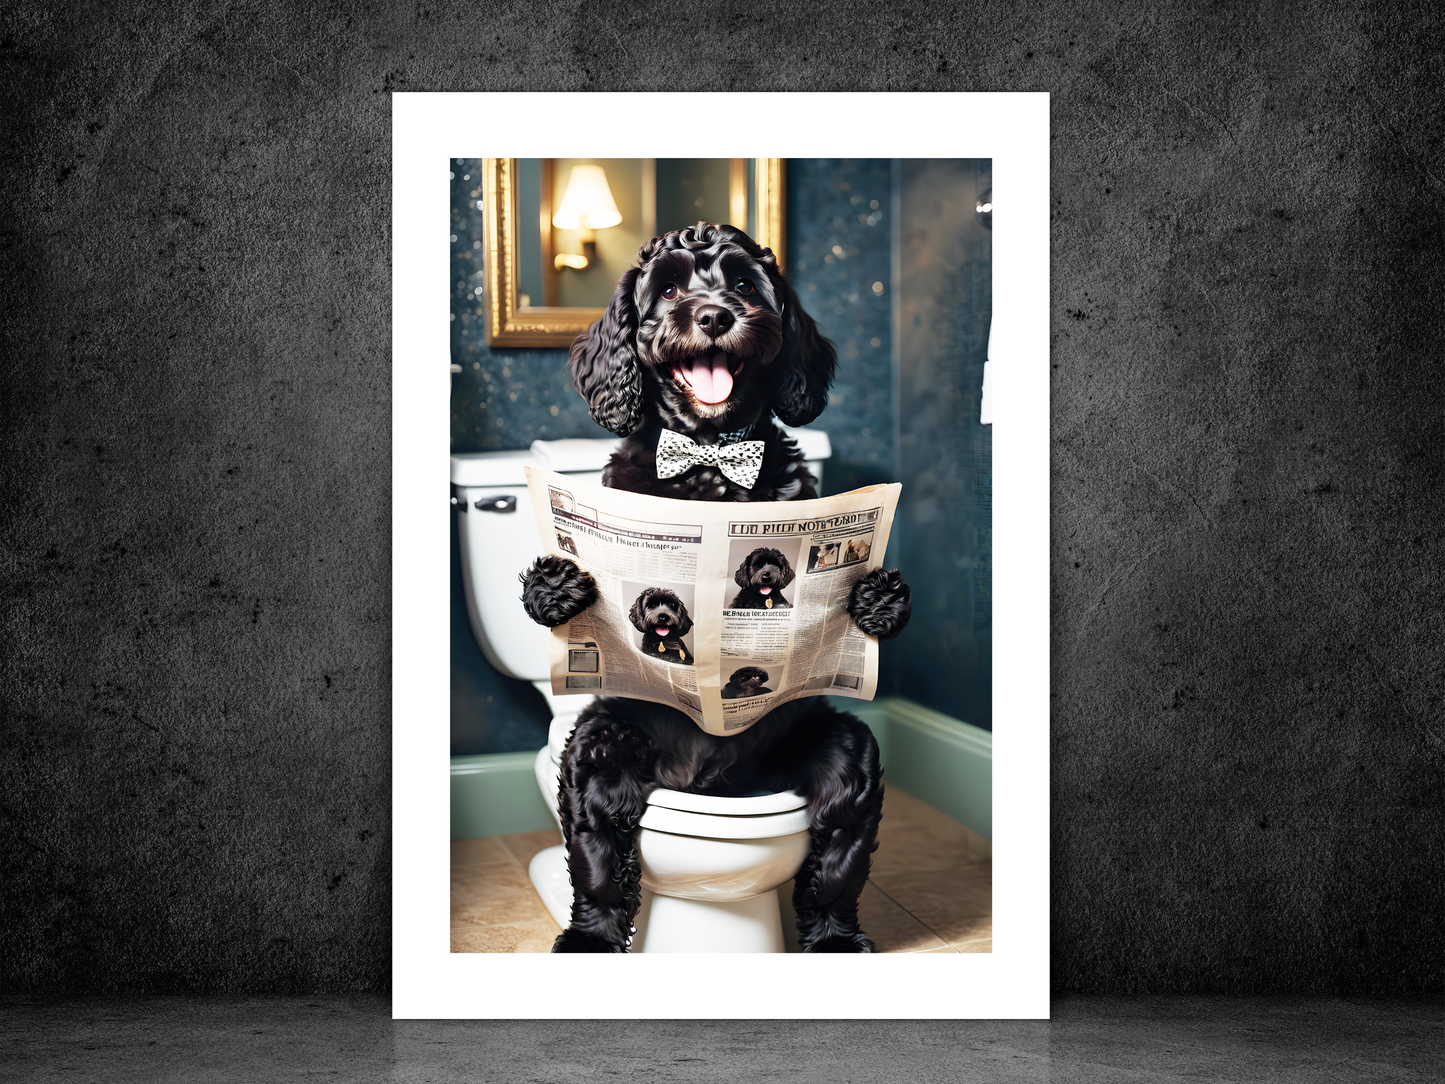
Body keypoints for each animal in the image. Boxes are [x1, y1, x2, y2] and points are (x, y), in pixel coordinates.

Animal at [514, 225, 907, 953]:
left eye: (745, 284)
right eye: (668, 288)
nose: (715, 316)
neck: (709, 461)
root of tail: (710, 786)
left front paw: (876, 600)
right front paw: (555, 588)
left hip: (838, 755)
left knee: (837, 853)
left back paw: (836, 939)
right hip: (600, 749)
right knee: (599, 854)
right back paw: (589, 937)